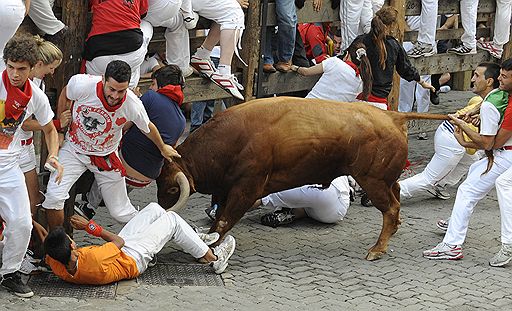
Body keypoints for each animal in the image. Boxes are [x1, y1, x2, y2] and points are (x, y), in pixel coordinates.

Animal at [157, 97, 448, 260]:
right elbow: (219, 216)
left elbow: (223, 221)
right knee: (396, 194)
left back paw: (377, 249)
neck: (233, 138)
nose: (161, 208)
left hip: (373, 181)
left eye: (171, 189)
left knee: (391, 208)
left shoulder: (246, 188)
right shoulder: (226, 188)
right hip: (384, 180)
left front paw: (212, 245)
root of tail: (391, 114)